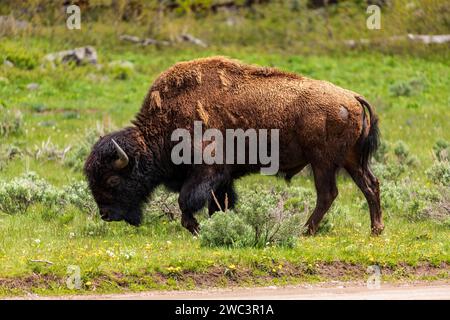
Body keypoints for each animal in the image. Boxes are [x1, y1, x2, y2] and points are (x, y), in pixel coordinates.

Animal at [83, 55, 384, 235]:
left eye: (112, 180)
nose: (106, 215)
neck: (166, 122)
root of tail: (352, 97)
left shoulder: (207, 170)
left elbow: (187, 200)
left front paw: (196, 229)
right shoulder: (223, 177)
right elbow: (220, 202)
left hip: (323, 162)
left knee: (328, 194)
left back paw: (305, 231)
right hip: (351, 160)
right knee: (370, 185)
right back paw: (375, 229)